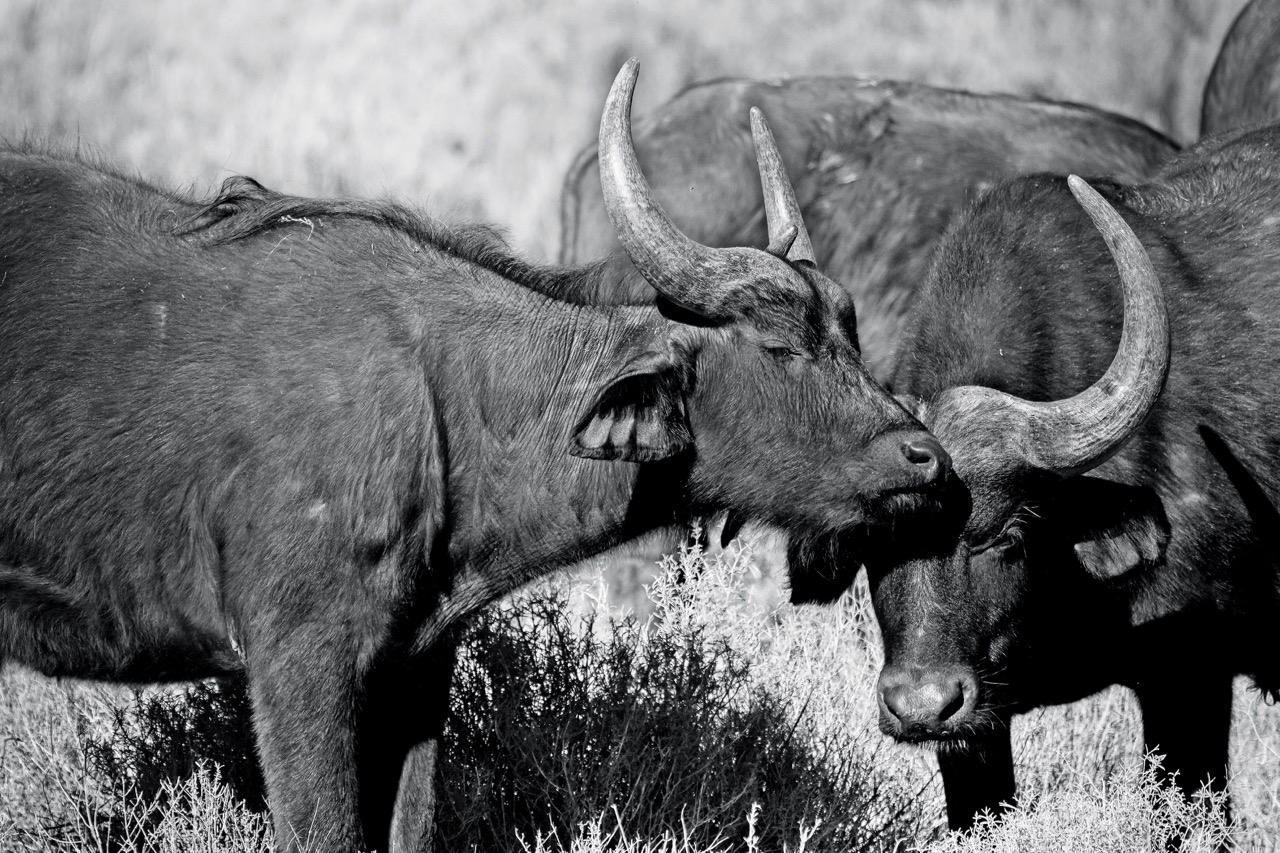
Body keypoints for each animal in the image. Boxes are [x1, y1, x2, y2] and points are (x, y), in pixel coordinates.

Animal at [0, 61, 949, 852]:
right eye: (782, 347)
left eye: (850, 332)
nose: (926, 457)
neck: (442, 399)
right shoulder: (298, 666)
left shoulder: (416, 671)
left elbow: (411, 830)